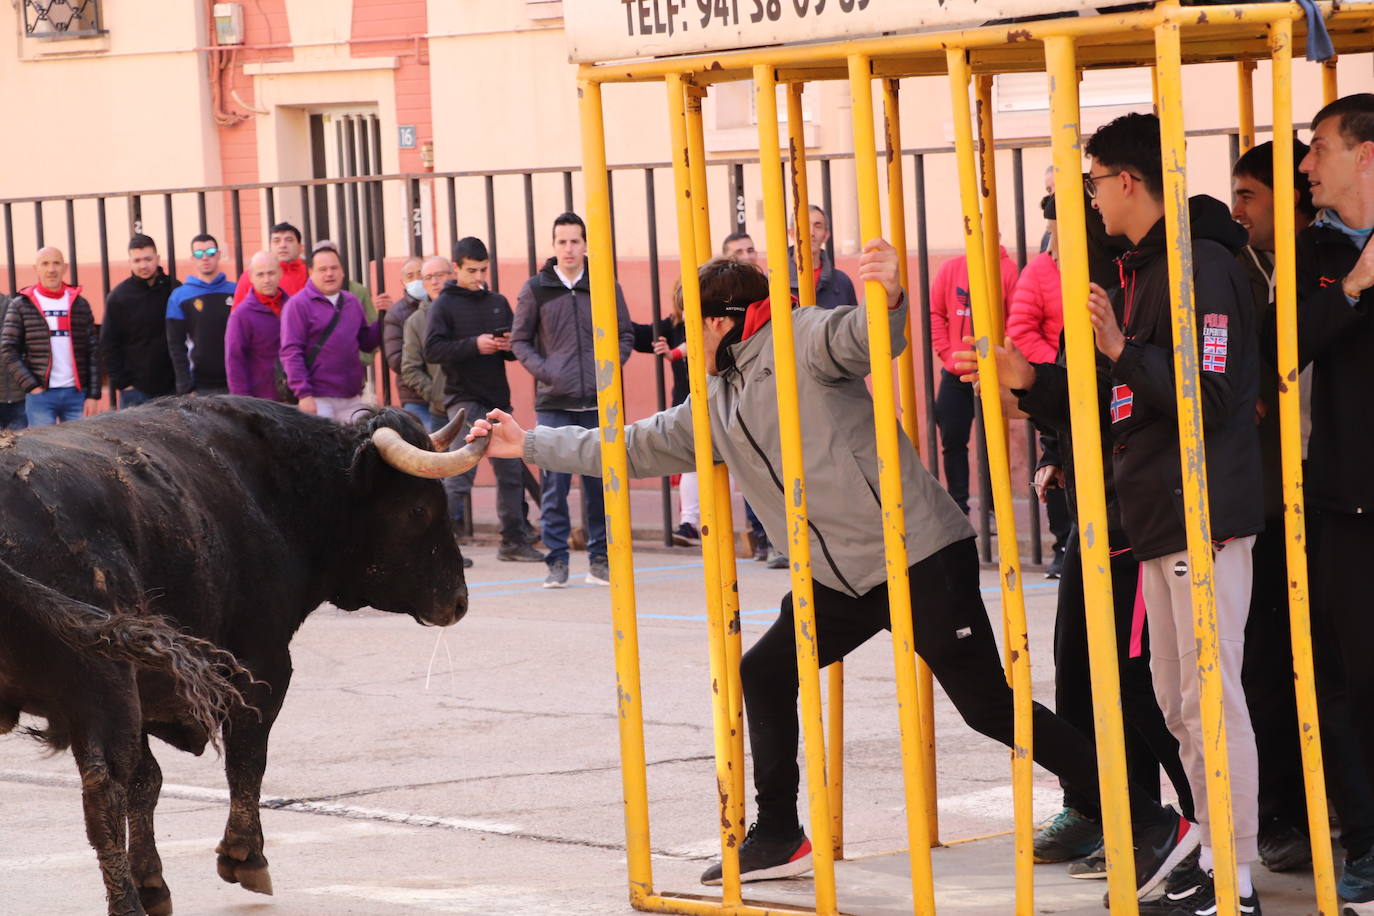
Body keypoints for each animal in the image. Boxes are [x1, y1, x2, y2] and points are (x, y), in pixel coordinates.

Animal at [0, 395, 494, 916]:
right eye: (419, 508)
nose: (458, 601)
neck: (275, 488)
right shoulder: (261, 664)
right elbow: (245, 757)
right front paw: (244, 856)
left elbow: (148, 780)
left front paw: (153, 881)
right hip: (101, 688)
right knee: (103, 795)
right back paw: (126, 903)